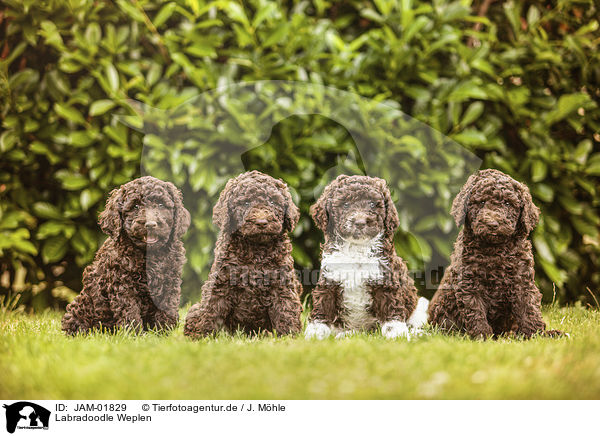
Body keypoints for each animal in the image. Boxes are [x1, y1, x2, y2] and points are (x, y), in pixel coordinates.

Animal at [61, 176, 189, 334]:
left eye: (160, 204)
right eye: (135, 207)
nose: (151, 224)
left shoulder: (170, 282)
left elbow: (167, 307)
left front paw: (164, 332)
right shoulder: (122, 285)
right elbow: (130, 311)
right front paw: (134, 334)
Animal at [183, 170, 302, 338]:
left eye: (273, 202)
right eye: (245, 204)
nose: (262, 222)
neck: (256, 249)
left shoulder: (282, 284)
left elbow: (286, 311)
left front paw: (289, 337)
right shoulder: (221, 282)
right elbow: (211, 311)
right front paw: (204, 337)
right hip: (194, 310)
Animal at [304, 175, 426, 338]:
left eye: (373, 204)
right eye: (346, 205)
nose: (360, 222)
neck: (356, 248)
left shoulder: (385, 280)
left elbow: (391, 308)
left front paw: (396, 333)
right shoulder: (330, 278)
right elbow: (323, 305)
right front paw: (315, 332)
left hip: (418, 310)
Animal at [428, 169, 560, 338]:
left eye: (507, 203)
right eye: (481, 203)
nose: (492, 224)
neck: (495, 249)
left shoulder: (522, 280)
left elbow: (529, 309)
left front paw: (535, 335)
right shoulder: (469, 284)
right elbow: (476, 312)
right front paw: (483, 336)